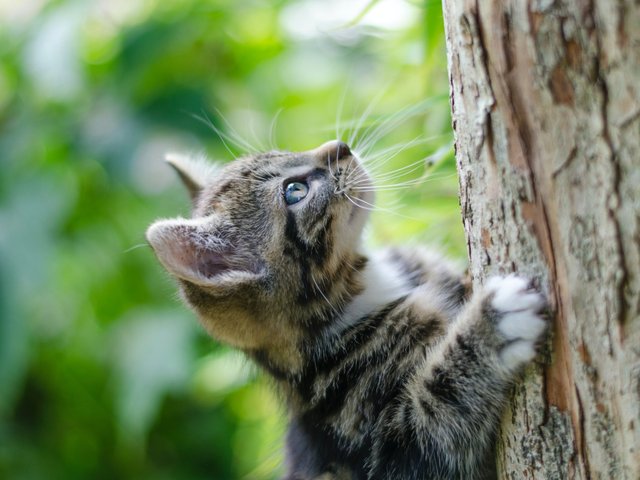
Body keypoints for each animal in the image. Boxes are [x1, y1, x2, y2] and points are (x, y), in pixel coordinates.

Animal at [148, 140, 548, 480]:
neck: (368, 285)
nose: (340, 147)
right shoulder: (388, 451)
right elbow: (438, 409)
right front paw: (493, 325)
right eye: (294, 191)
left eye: (285, 151)